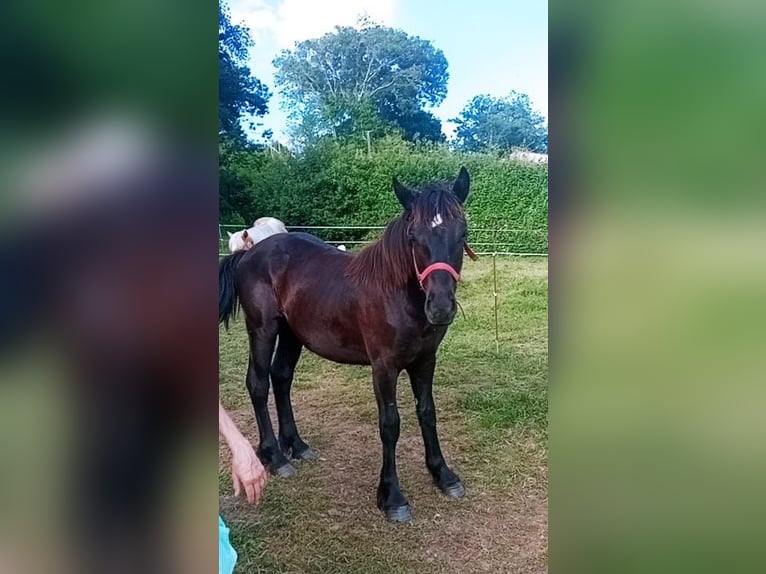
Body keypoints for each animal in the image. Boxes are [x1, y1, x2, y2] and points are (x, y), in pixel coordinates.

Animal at [219, 166, 474, 520]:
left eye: (462, 235)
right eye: (413, 237)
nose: (440, 307)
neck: (396, 295)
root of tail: (248, 254)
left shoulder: (425, 361)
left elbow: (427, 412)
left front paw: (443, 475)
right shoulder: (384, 368)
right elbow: (390, 425)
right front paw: (392, 497)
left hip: (291, 334)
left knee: (281, 377)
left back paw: (296, 445)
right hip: (262, 330)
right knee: (258, 383)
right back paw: (275, 457)